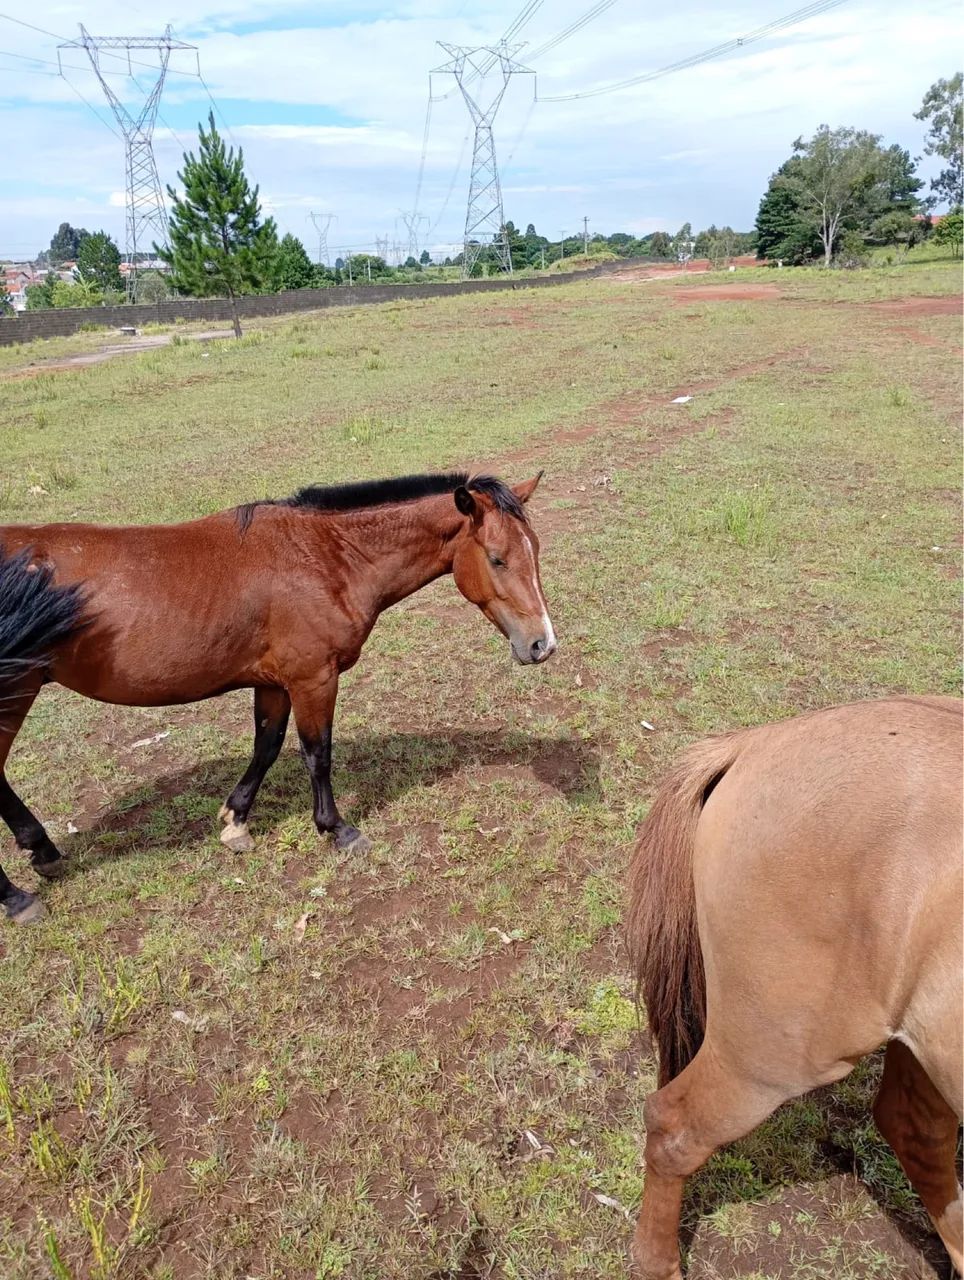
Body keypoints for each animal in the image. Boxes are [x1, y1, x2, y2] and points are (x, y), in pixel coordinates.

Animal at [0, 471, 556, 924]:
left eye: (534, 550)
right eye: (497, 558)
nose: (542, 645)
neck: (325, 556)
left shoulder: (273, 683)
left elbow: (266, 748)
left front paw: (235, 822)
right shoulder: (313, 679)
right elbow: (318, 753)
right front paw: (337, 830)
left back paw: (42, 853)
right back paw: (19, 898)